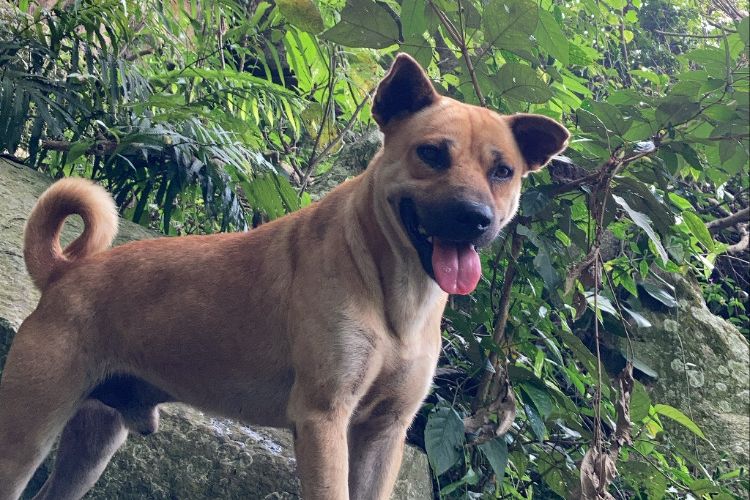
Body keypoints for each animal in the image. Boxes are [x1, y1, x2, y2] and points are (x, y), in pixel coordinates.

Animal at [0, 54, 568, 500]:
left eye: (503, 171)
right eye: (431, 153)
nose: (476, 218)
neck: (393, 298)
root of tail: (66, 272)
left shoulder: (384, 434)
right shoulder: (322, 419)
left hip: (92, 444)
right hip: (26, 434)